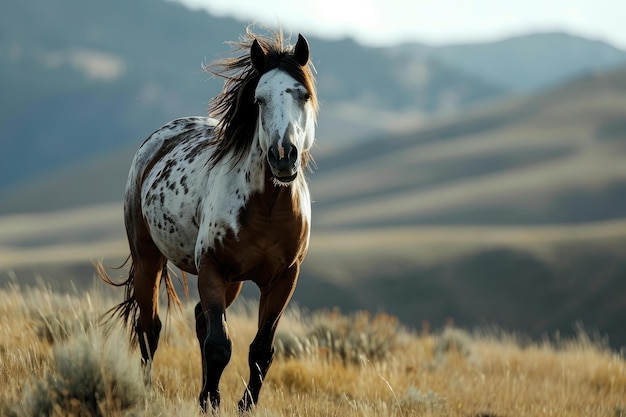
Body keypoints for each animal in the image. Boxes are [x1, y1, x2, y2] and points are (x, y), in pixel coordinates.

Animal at [100, 30, 320, 412]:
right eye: (259, 100)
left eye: (302, 95)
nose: (283, 156)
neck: (268, 208)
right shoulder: (212, 268)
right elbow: (219, 345)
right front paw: (214, 402)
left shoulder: (282, 280)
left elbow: (261, 350)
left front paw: (241, 404)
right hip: (149, 259)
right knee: (150, 327)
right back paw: (146, 392)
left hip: (233, 283)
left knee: (201, 319)